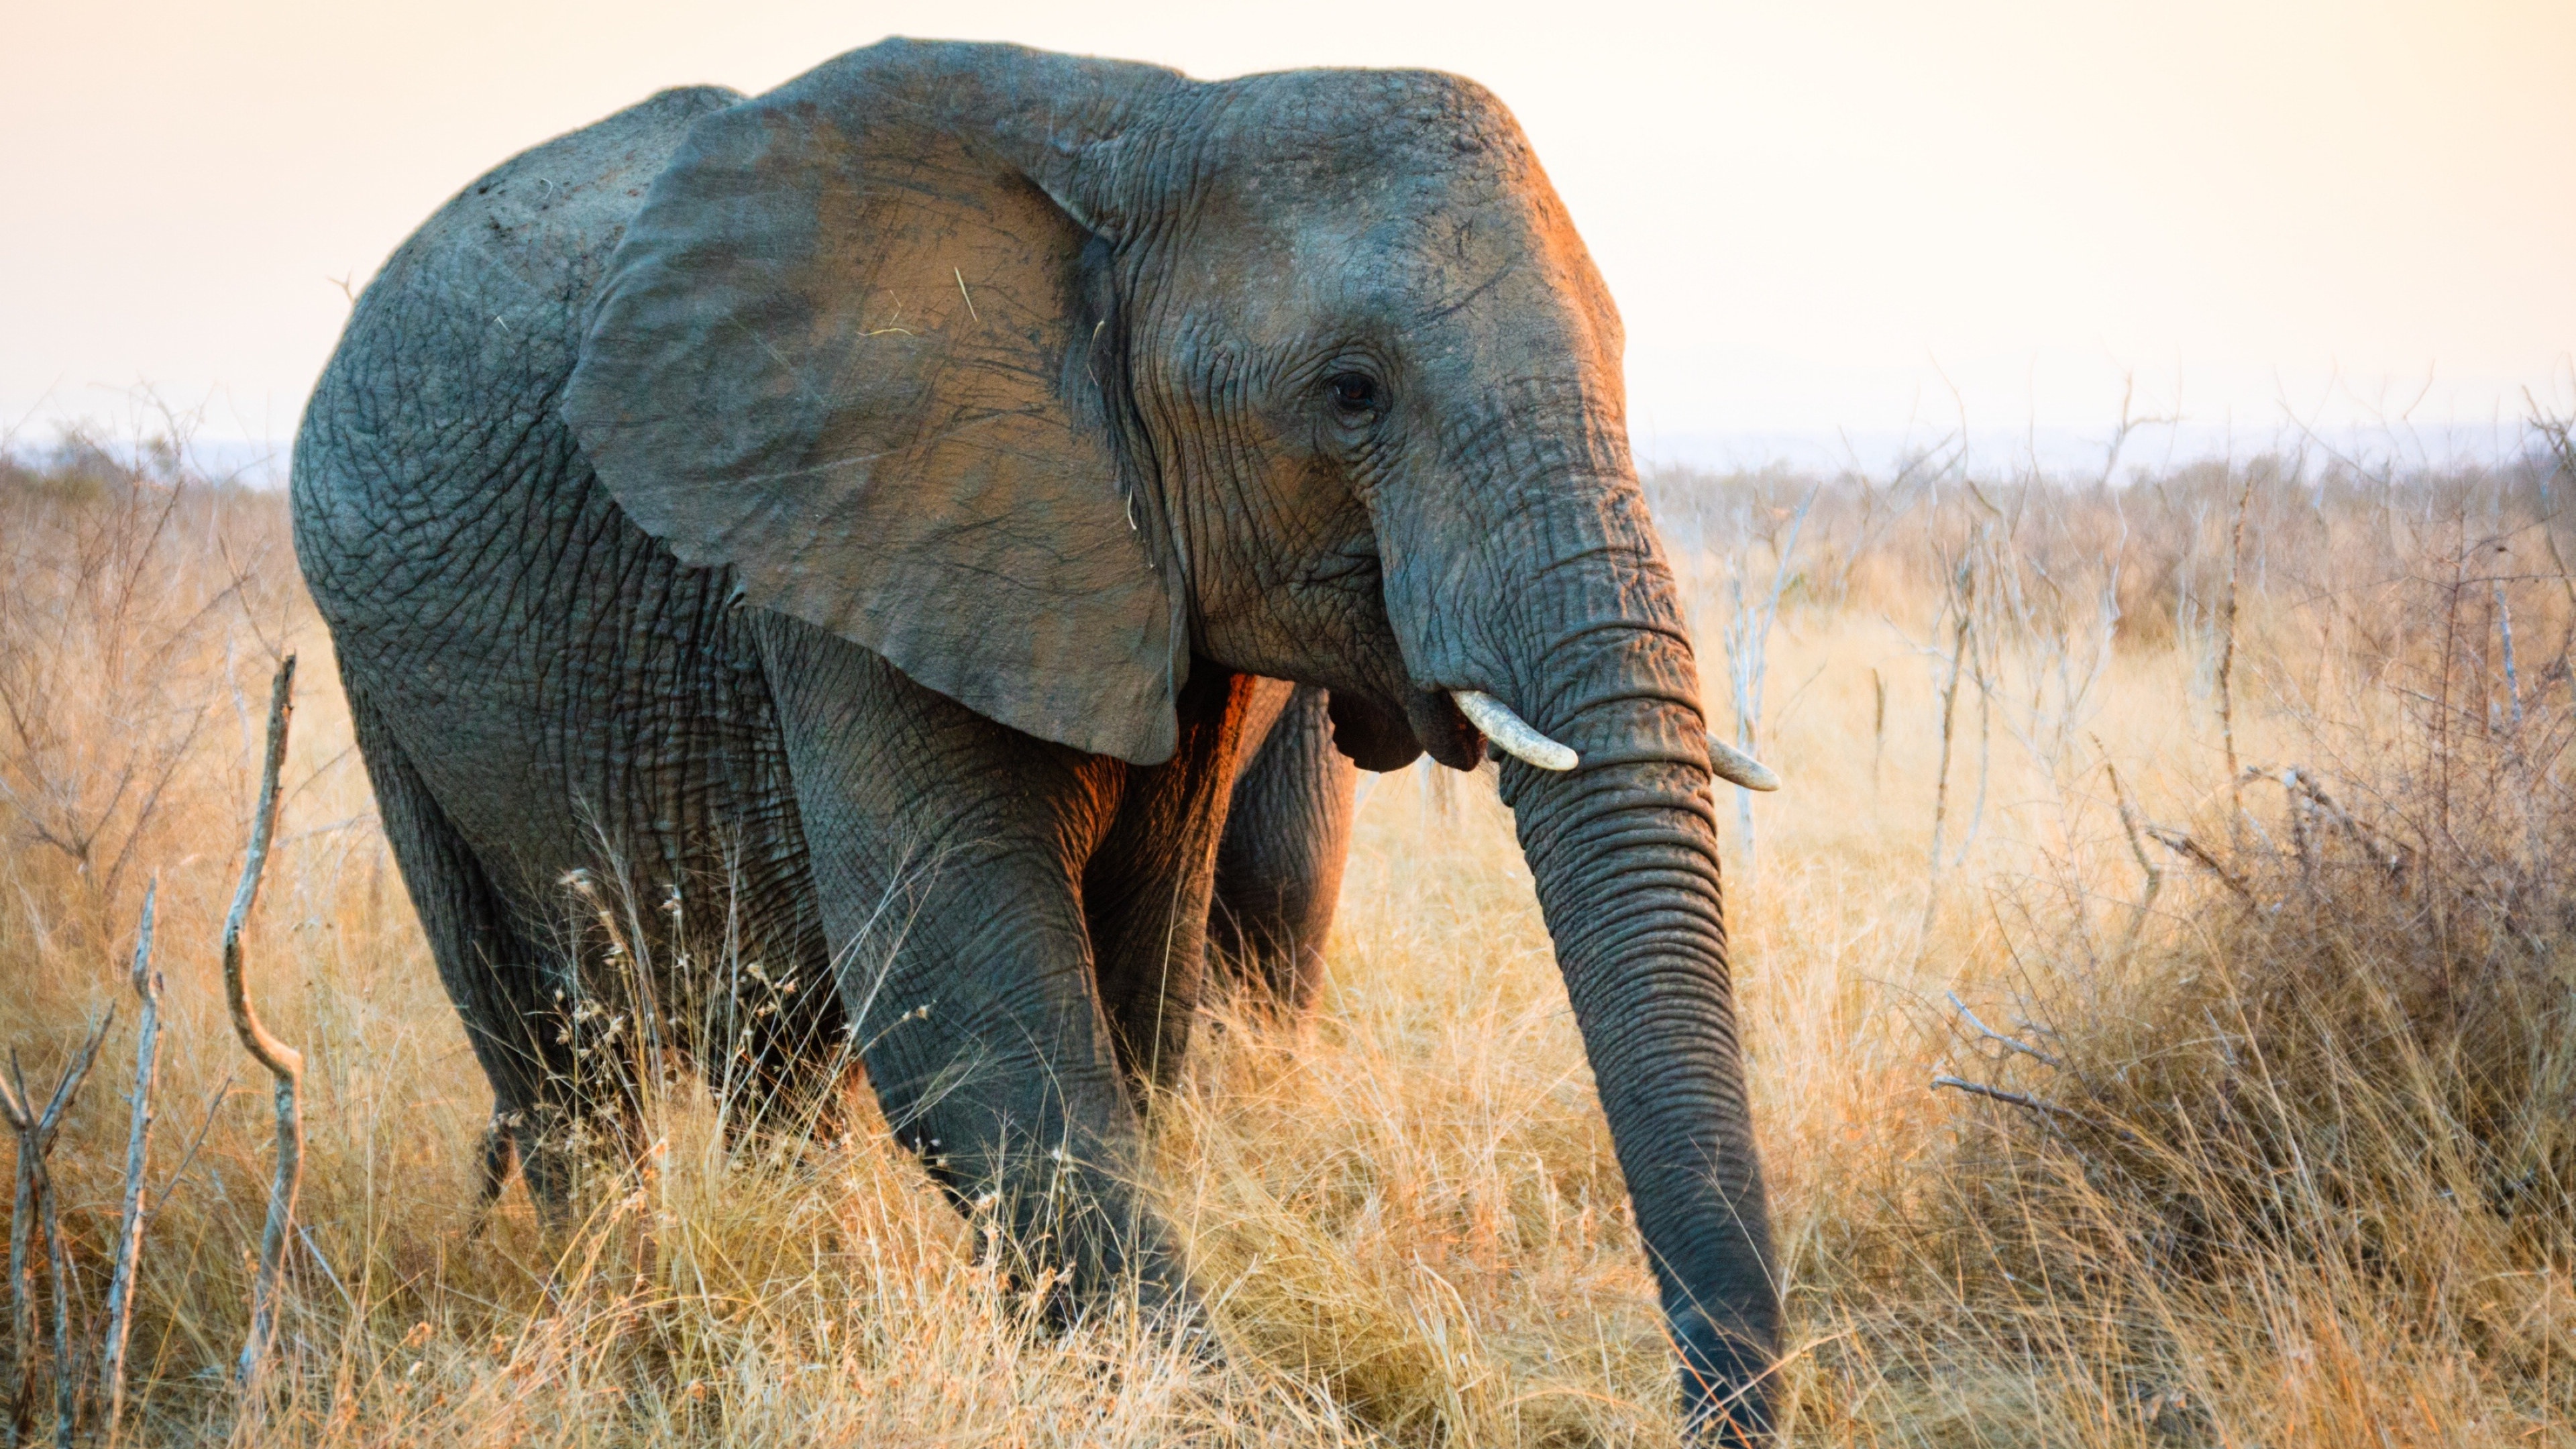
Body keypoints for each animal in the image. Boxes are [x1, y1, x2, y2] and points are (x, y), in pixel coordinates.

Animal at [282, 36, 1772, 1433]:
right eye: (1354, 392)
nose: (1712, 1412)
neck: (1157, 127)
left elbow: (1135, 998)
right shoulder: (863, 535)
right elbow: (976, 1018)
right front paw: (1210, 1410)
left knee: (771, 1061)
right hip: (379, 679)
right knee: (550, 1054)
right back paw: (615, 1303)